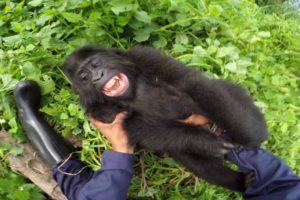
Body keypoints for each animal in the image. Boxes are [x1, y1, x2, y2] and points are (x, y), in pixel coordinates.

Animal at [62, 44, 268, 191]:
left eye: (96, 64)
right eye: (84, 77)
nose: (98, 77)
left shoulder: (144, 55)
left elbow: (191, 83)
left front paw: (248, 138)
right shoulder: (98, 111)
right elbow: (137, 128)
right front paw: (207, 143)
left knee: (228, 90)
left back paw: (257, 128)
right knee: (189, 156)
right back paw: (239, 182)